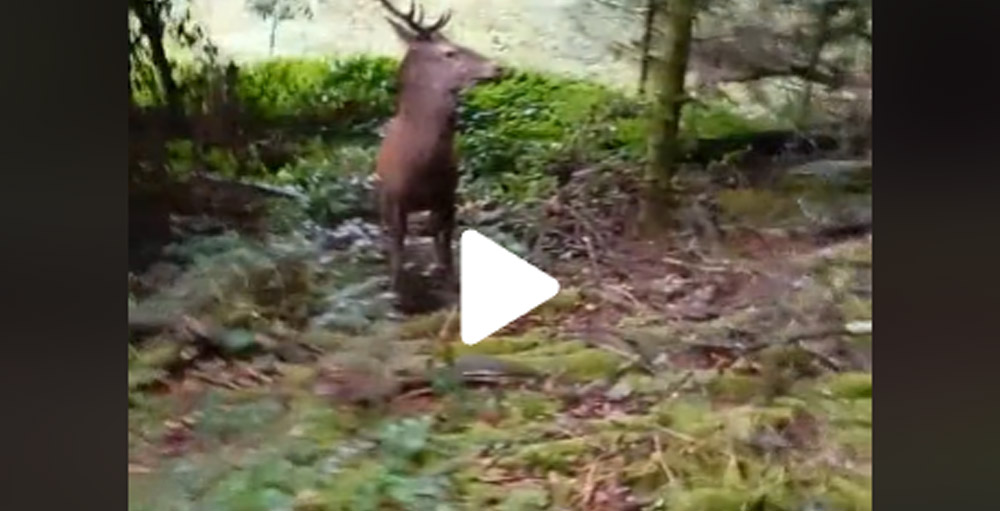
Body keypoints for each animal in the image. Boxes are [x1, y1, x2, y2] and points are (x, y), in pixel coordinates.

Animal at [374, 0, 504, 296]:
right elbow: (398, 259)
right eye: (449, 52)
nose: (498, 67)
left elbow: (446, 256)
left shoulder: (448, 197)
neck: (422, 166)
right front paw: (396, 292)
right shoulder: (395, 200)